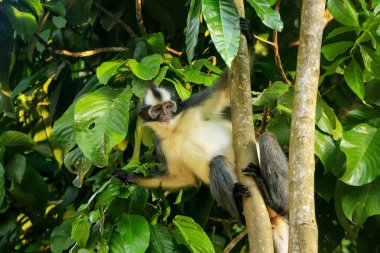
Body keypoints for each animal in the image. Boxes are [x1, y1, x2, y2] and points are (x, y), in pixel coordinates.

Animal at [114, 17, 290, 251]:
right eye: (157, 110)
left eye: (169, 106)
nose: (166, 115)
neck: (176, 128)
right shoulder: (162, 145)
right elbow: (181, 178)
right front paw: (129, 177)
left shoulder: (192, 104)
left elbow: (224, 90)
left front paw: (248, 34)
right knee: (216, 163)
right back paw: (241, 208)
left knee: (266, 138)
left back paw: (276, 201)